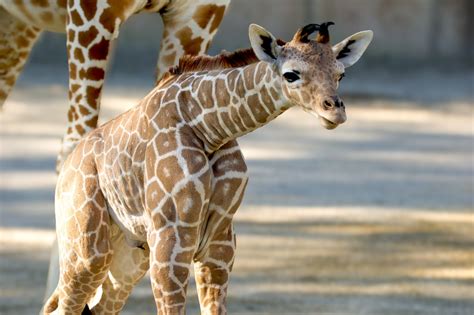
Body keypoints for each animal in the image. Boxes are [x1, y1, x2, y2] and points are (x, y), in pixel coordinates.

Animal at [42, 22, 372, 315]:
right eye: (291, 74)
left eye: (341, 74)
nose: (335, 111)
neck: (209, 127)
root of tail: (67, 167)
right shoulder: (171, 242)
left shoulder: (219, 243)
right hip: (87, 248)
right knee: (64, 306)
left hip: (130, 253)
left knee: (97, 307)